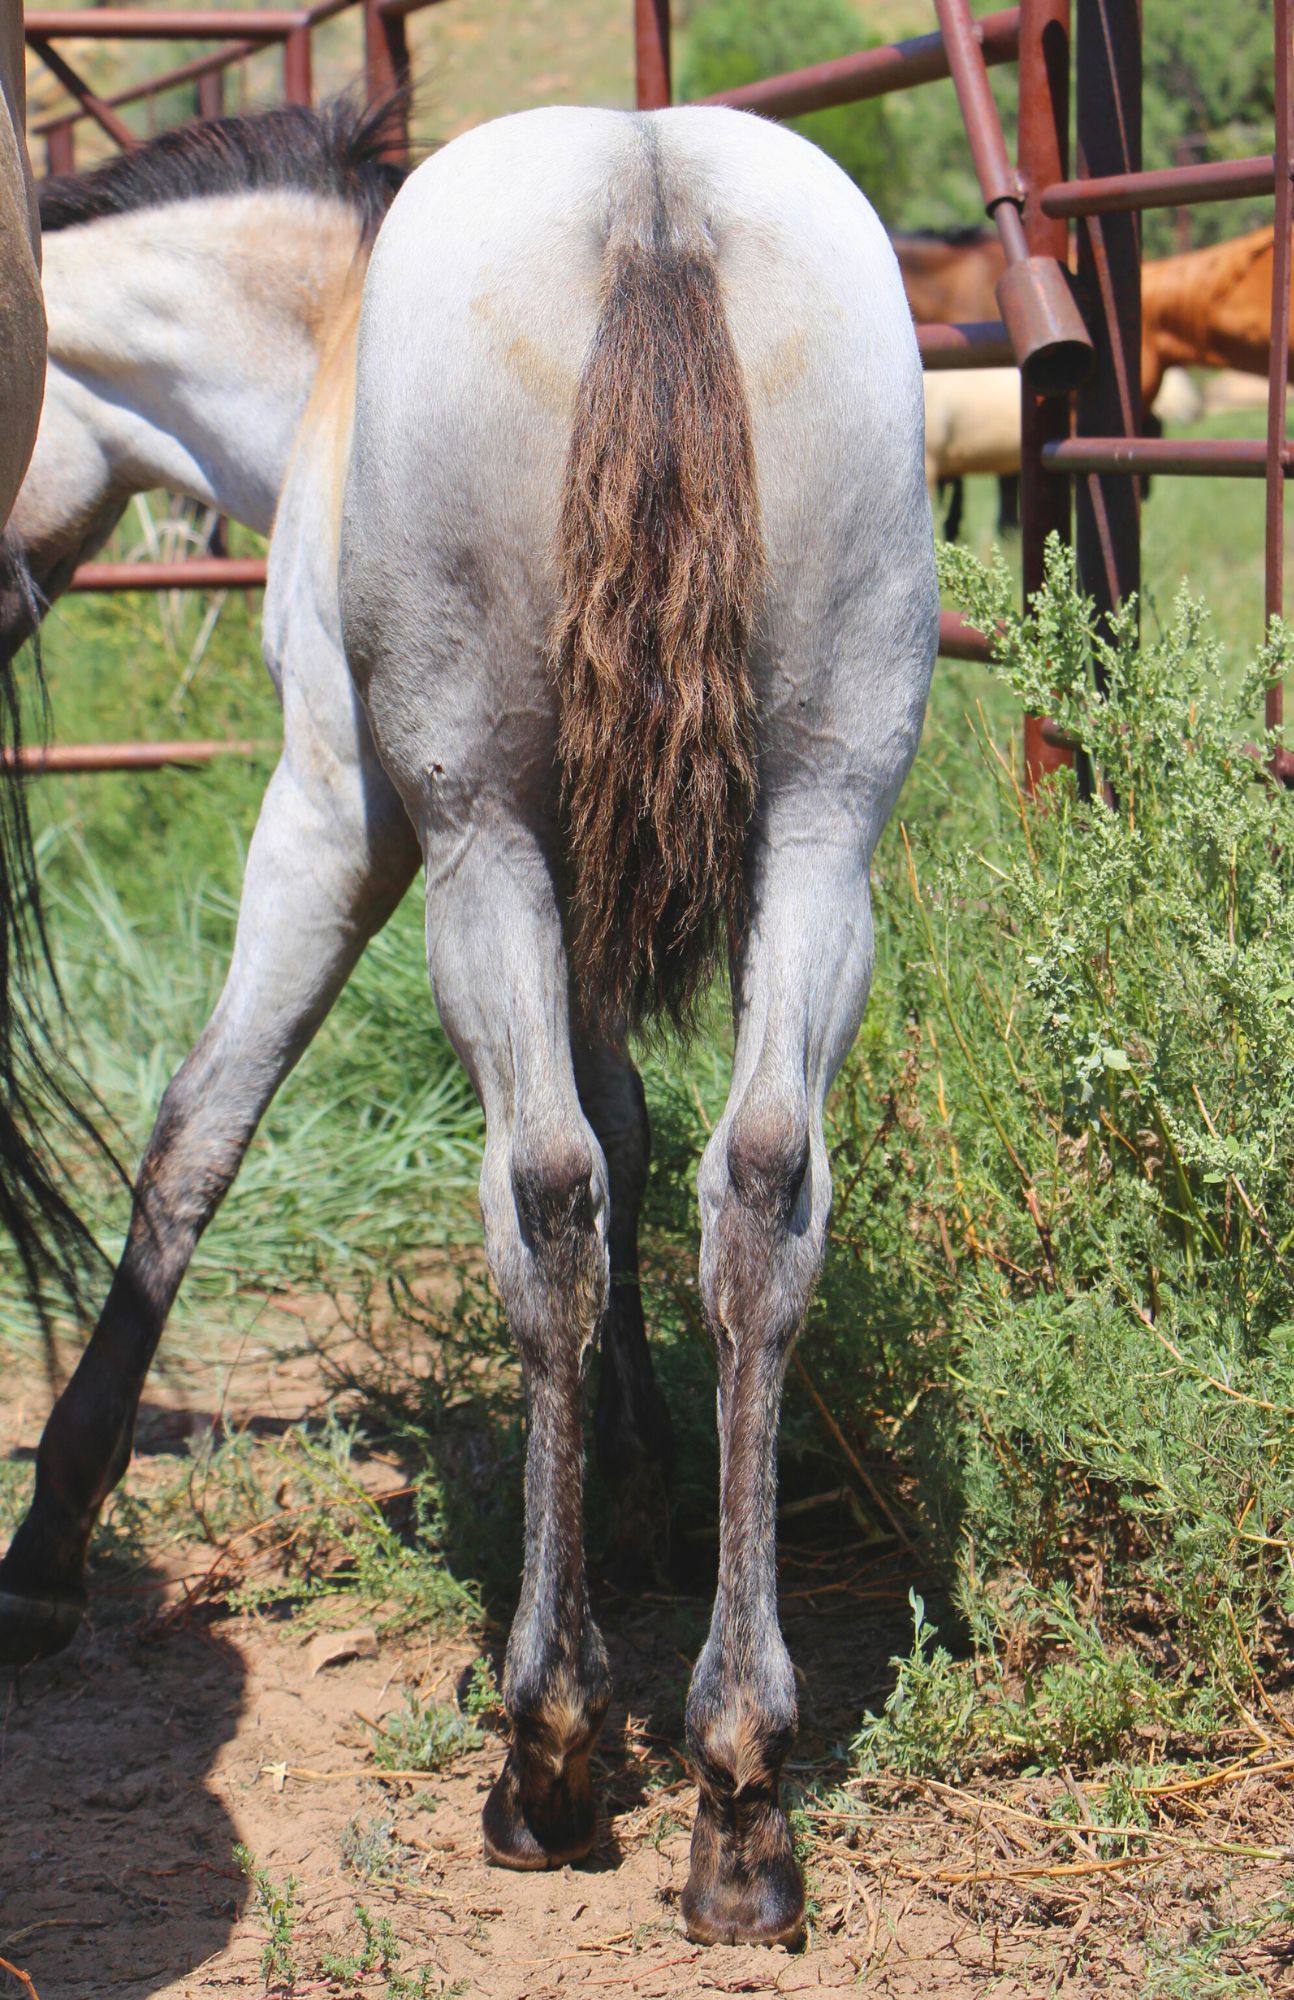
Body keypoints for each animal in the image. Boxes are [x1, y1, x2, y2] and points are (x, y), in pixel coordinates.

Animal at [2, 99, 938, 1951]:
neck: (319, 347)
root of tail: (651, 200)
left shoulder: (333, 821)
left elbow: (196, 1136)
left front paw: (48, 1547)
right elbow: (639, 1139)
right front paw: (641, 1498)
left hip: (477, 844)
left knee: (543, 1204)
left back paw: (552, 1754)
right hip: (820, 829)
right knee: (757, 1193)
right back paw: (737, 1791)